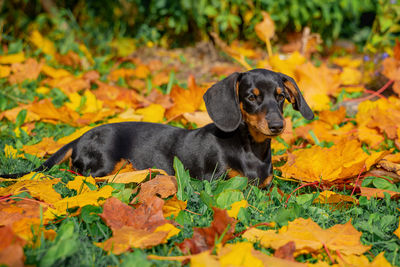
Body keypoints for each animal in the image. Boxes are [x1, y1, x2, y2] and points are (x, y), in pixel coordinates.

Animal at [1, 68, 314, 186]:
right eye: (251, 97)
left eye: (281, 97)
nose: (278, 125)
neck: (250, 149)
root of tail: (79, 137)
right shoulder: (215, 182)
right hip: (104, 165)